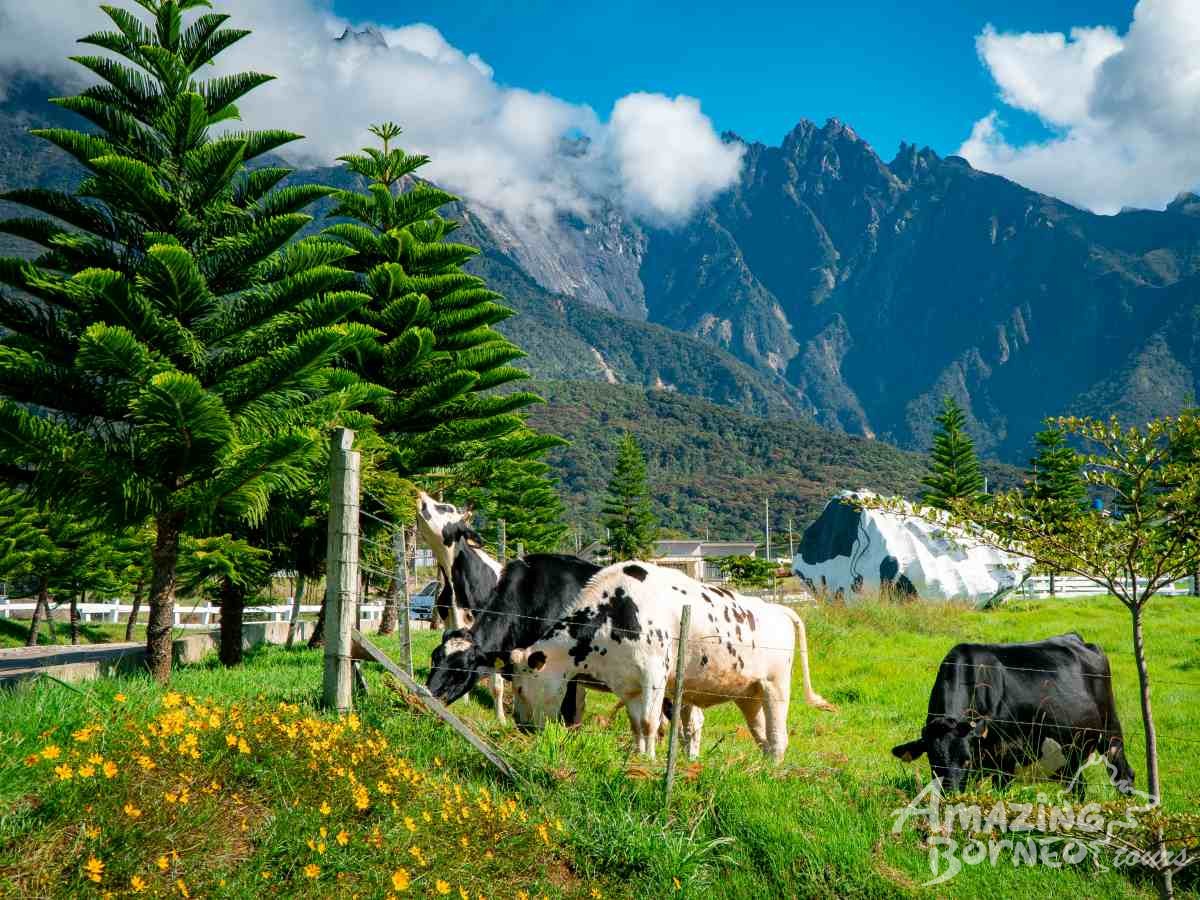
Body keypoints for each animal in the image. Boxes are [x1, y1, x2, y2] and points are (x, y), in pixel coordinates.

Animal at [506, 564, 835, 763]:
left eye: (520, 688)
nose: (520, 725)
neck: (615, 613)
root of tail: (777, 608)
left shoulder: (654, 675)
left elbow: (650, 723)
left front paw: (650, 761)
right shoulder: (629, 685)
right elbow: (636, 725)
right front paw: (639, 758)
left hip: (775, 687)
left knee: (778, 736)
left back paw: (774, 771)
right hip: (749, 694)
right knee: (762, 735)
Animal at [892, 633, 1132, 796]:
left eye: (967, 761)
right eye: (934, 761)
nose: (951, 795)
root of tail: (1077, 639)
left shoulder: (1006, 757)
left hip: (1111, 729)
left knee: (1124, 775)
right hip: (1068, 751)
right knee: (1077, 785)